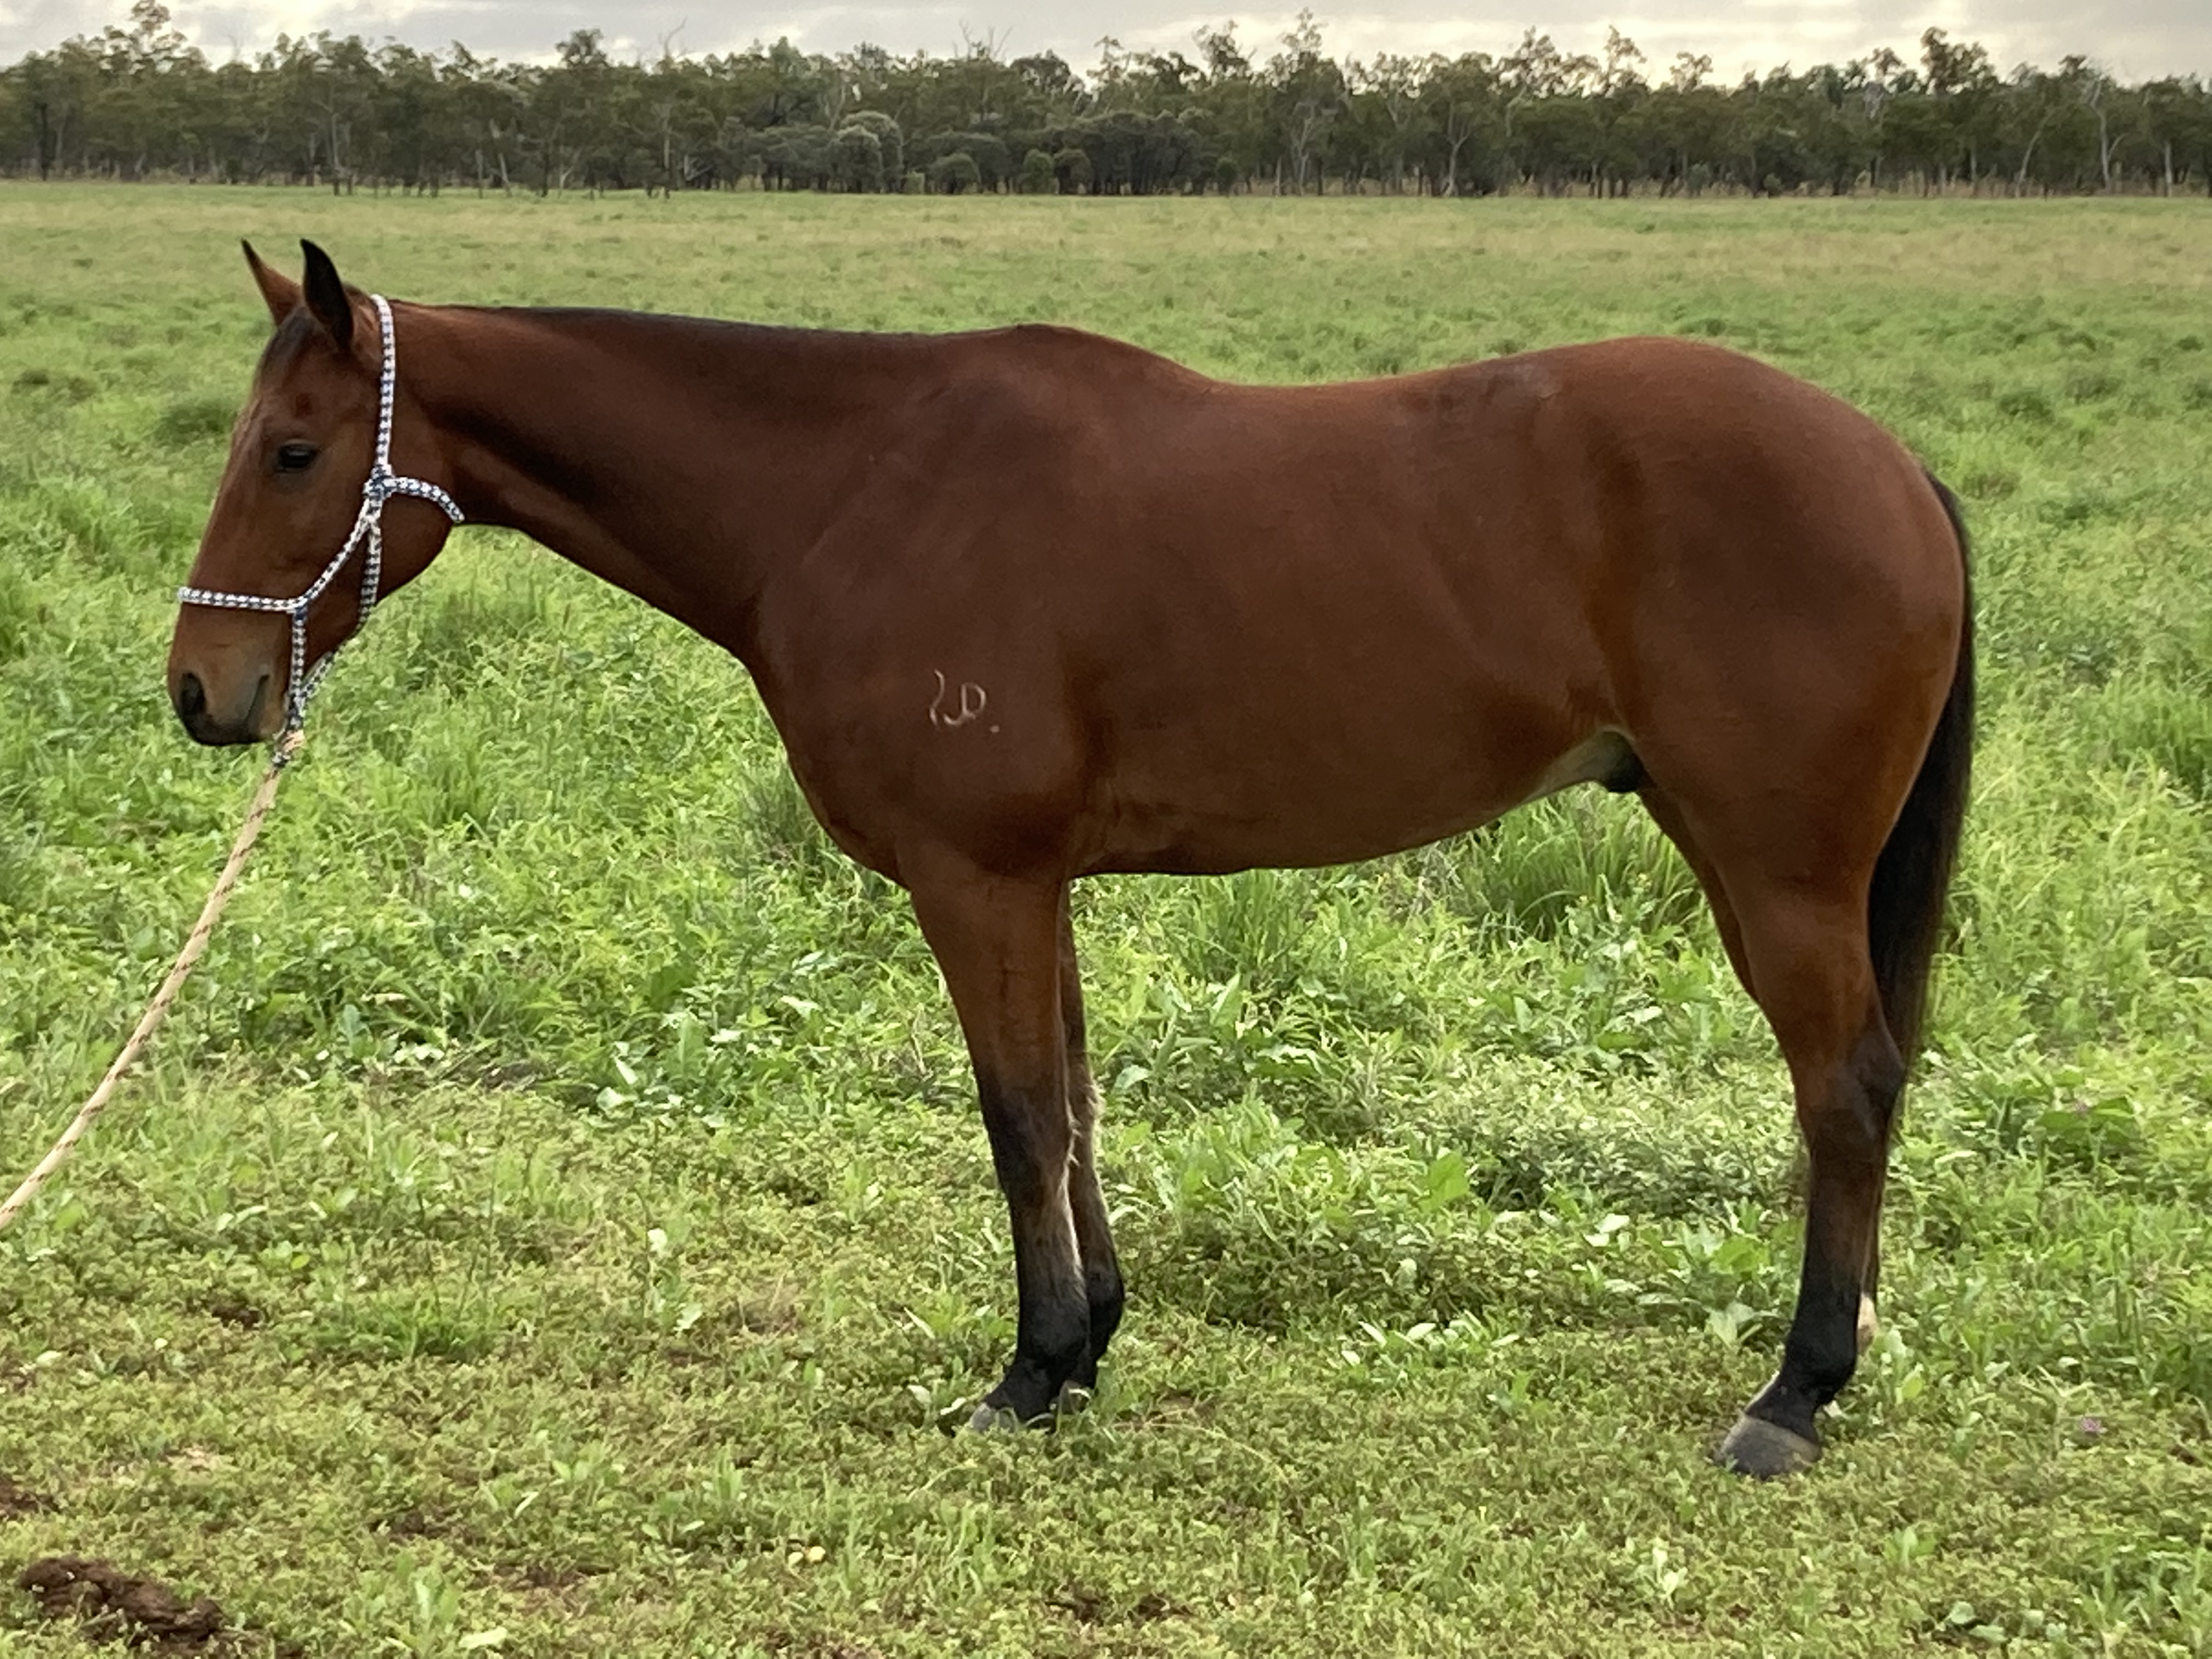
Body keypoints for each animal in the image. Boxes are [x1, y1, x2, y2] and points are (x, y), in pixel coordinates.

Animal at [169, 241, 1972, 1478]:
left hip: (1776, 871)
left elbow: (1018, 1112)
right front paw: (1093, 1342)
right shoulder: (1044, 887)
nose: (202, 689)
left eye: (292, 451)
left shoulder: (978, 879)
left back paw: (1796, 1394)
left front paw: (1031, 1372)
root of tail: (1892, 462)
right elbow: (1080, 1102)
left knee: (1846, 1088)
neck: (850, 490)